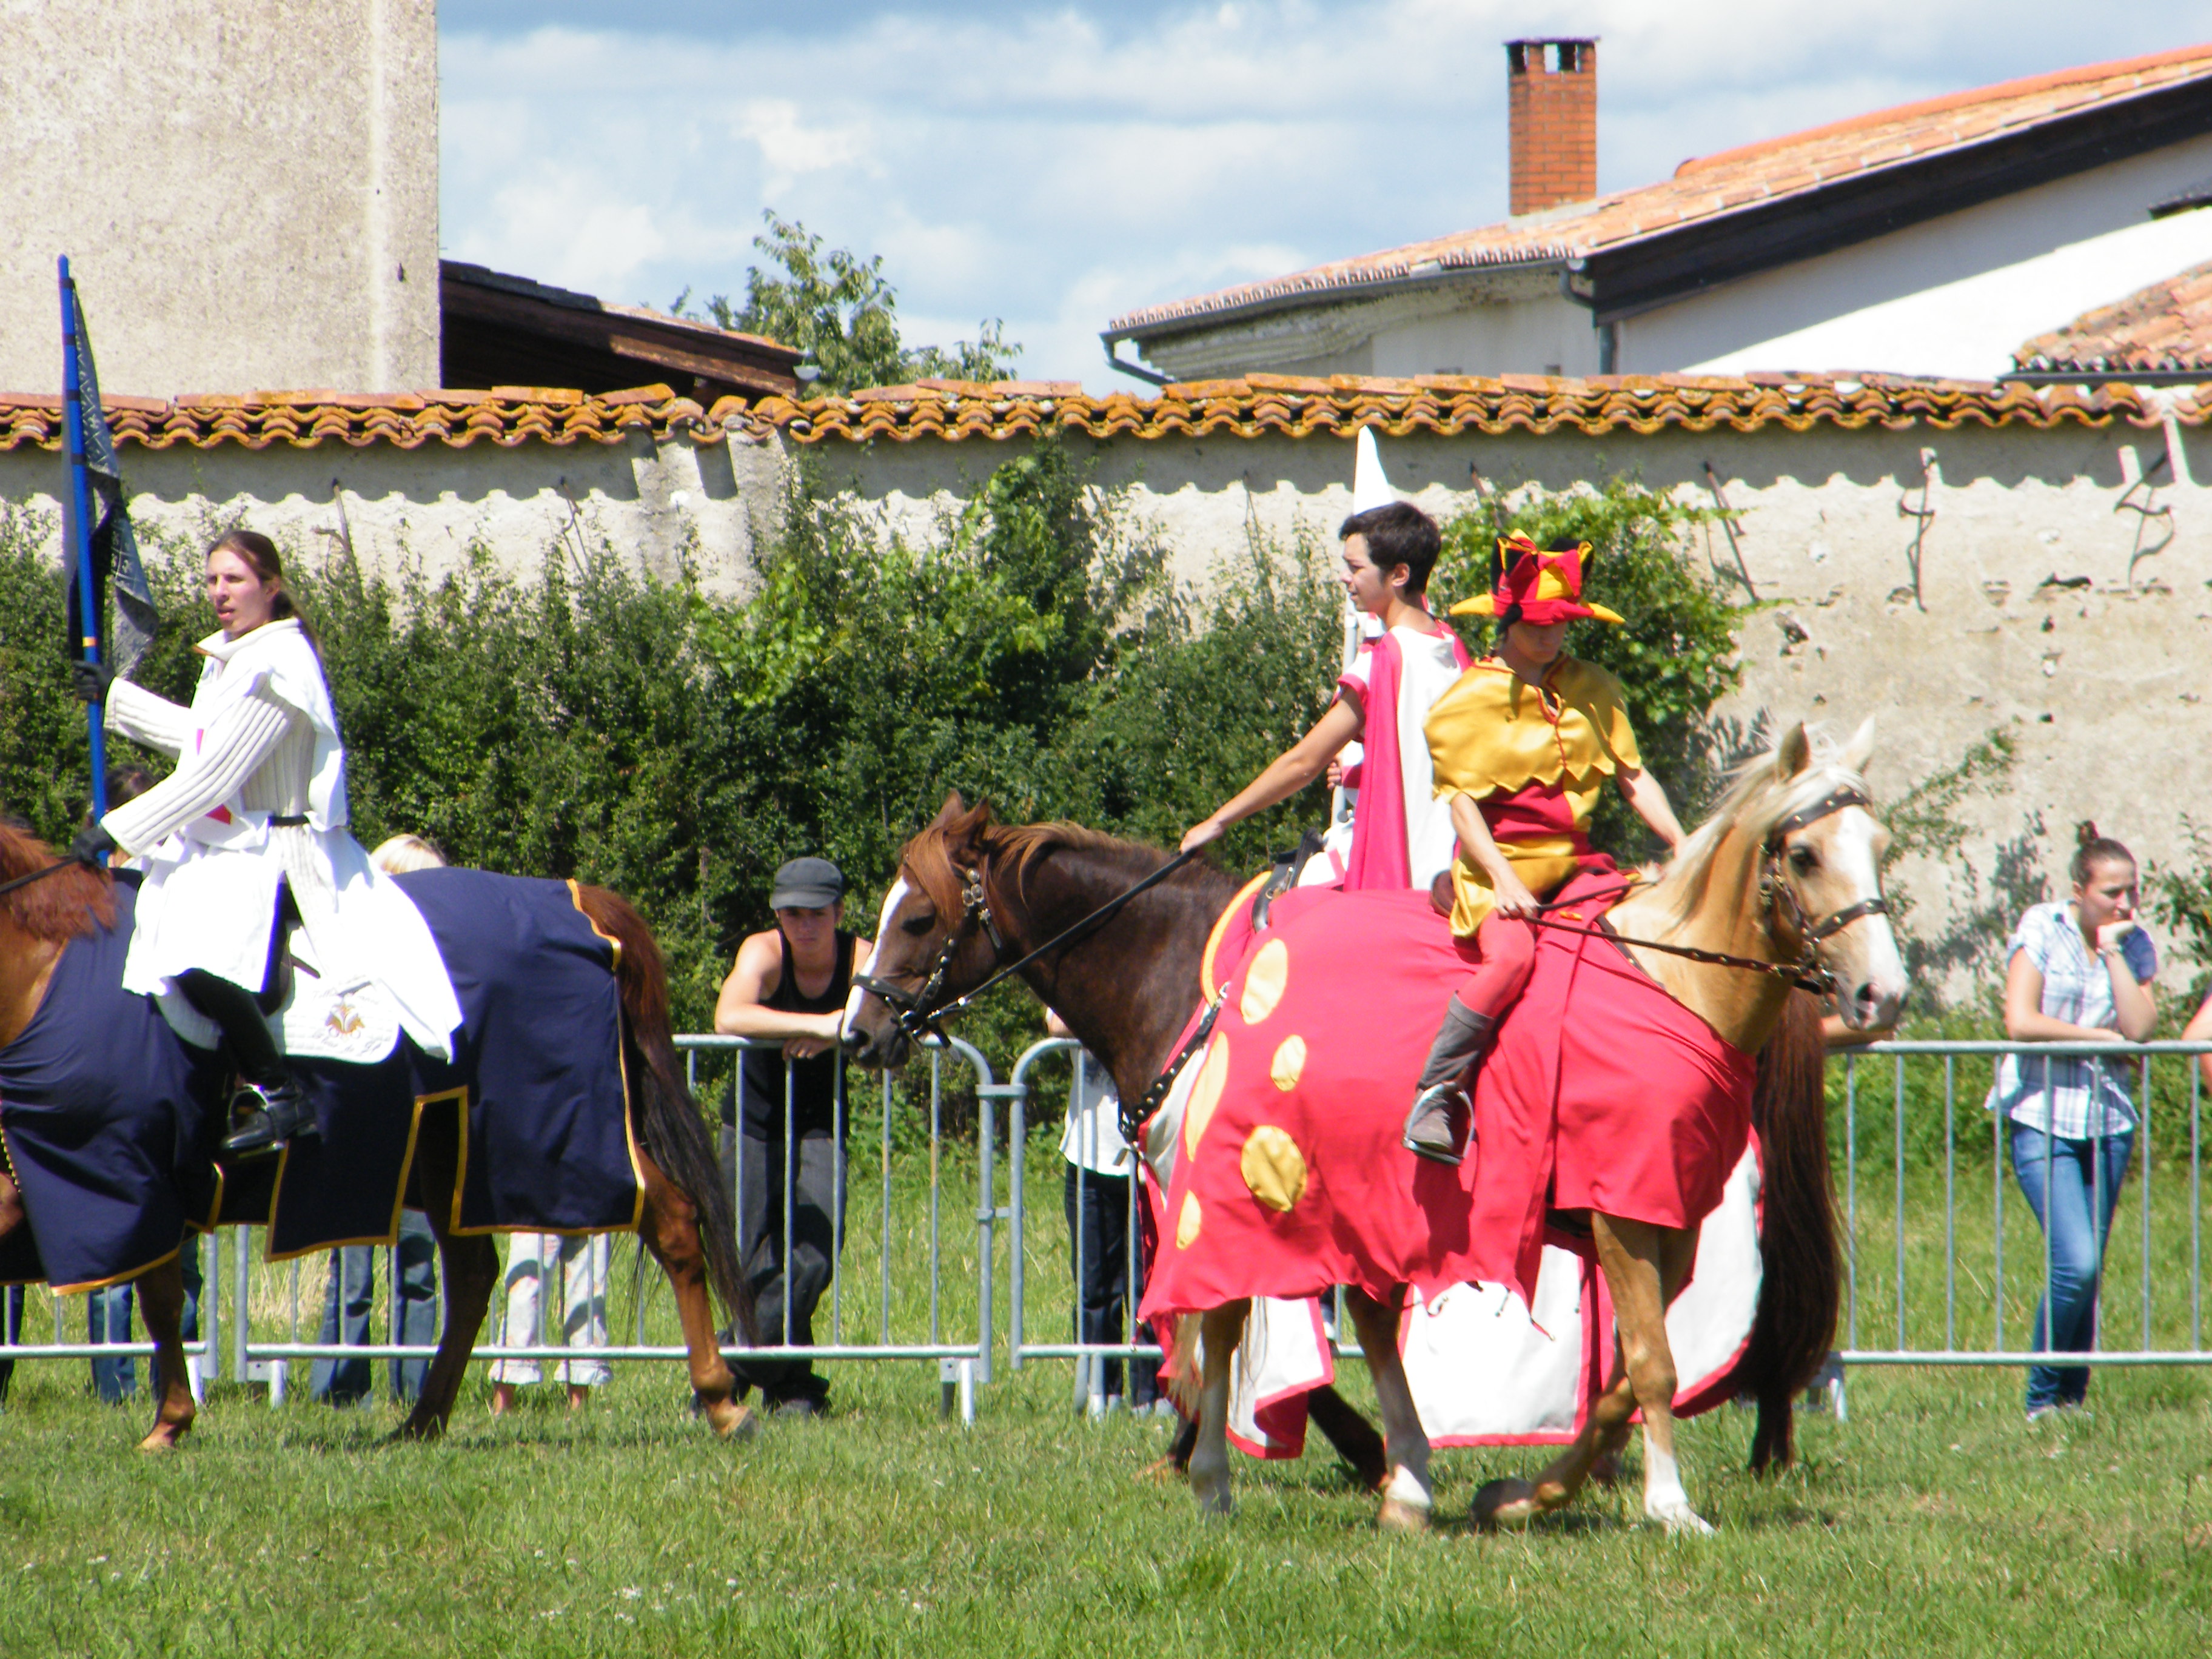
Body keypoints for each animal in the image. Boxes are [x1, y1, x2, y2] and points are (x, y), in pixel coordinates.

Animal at [0, 815, 755, 1450]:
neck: (43, 973)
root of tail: (580, 908)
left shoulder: (117, 1170)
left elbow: (157, 1299)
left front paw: (169, 1423)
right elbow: (156, 1298)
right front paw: (172, 1420)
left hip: (556, 1137)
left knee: (671, 1221)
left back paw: (722, 1401)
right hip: (450, 1151)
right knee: (474, 1274)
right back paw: (423, 1419)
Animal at [844, 720, 1902, 1533]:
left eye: (917, 919)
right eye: (1805, 852)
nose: (859, 1031)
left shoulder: (1636, 1213)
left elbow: (1638, 1365)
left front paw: (1653, 1503)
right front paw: (1459, 1482)